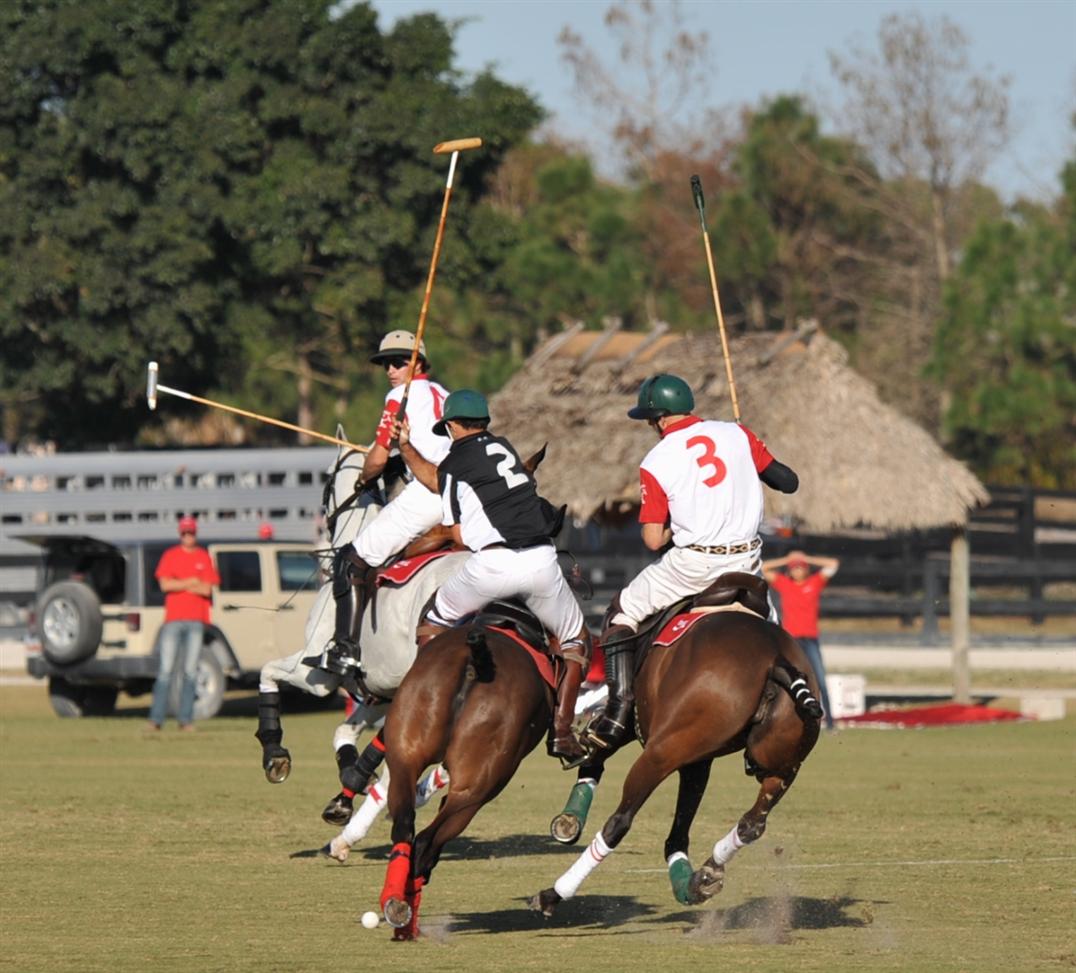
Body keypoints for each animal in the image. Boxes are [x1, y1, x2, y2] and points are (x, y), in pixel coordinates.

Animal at [530, 586, 821, 917]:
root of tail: (778, 661)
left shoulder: (639, 727)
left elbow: (601, 747)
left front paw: (569, 819)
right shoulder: (699, 759)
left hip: (662, 752)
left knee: (620, 822)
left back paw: (554, 893)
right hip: (777, 761)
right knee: (752, 823)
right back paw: (704, 874)